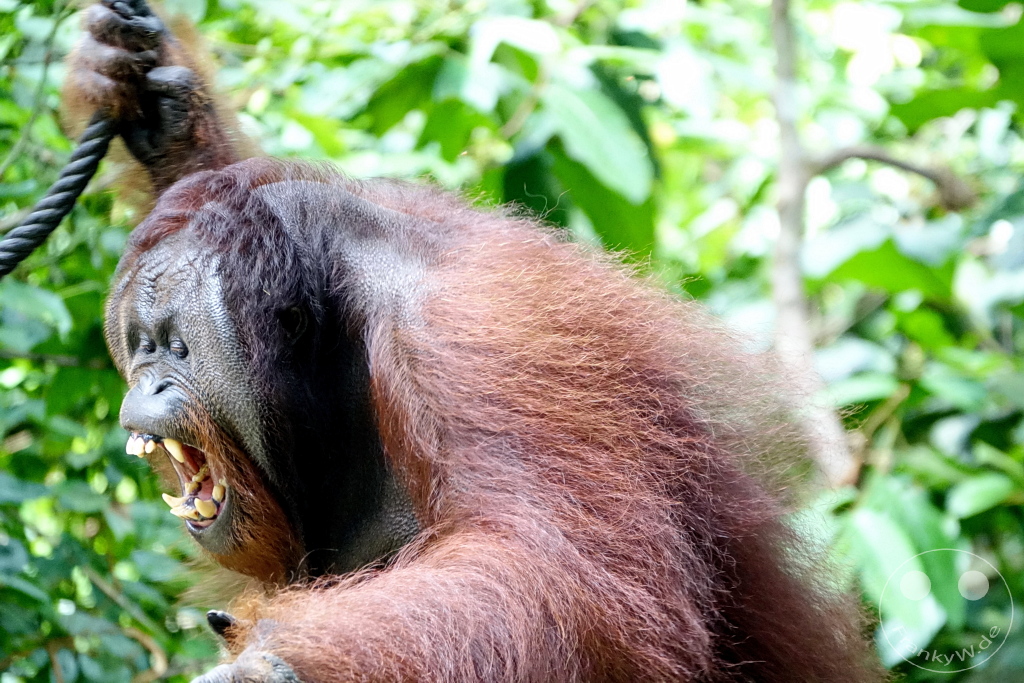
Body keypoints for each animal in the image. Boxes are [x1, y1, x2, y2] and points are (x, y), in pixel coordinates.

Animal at [64, 1, 883, 681]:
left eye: (178, 348)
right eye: (142, 345)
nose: (147, 383)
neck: (341, 331)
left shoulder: (479, 338)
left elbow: (562, 575)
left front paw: (270, 663)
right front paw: (159, 100)